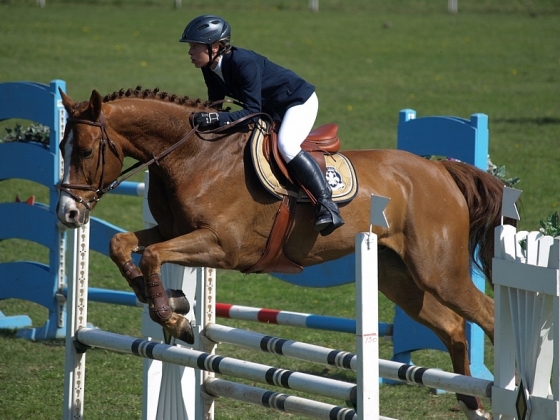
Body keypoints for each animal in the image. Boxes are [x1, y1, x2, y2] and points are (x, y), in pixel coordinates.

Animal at [55, 86, 512, 420]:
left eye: (85, 150)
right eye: (61, 148)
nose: (68, 213)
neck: (194, 156)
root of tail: (440, 169)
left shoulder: (221, 246)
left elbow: (151, 255)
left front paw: (176, 319)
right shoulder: (174, 233)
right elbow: (122, 244)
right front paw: (165, 301)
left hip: (438, 271)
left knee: (488, 316)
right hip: (400, 278)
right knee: (453, 326)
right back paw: (472, 405)